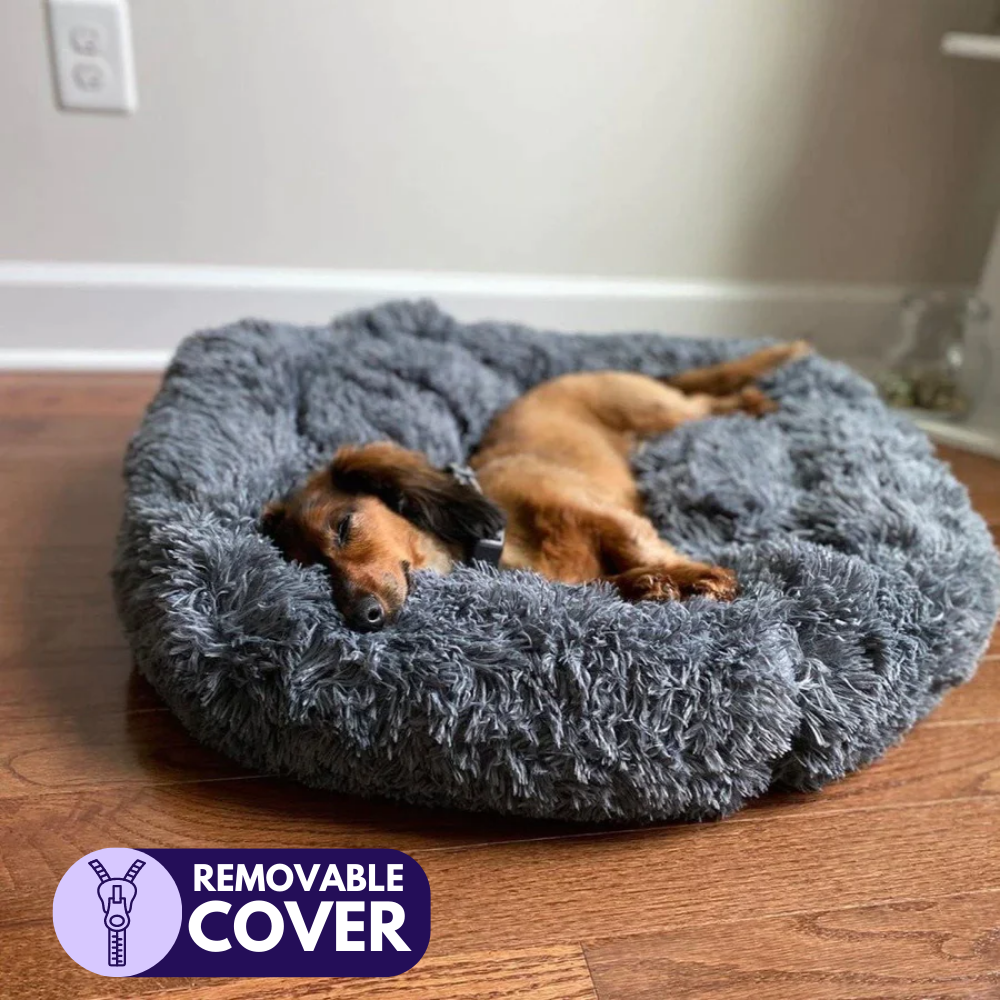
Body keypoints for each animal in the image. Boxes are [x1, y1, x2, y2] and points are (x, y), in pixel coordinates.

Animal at [263, 341, 809, 631]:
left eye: (343, 526)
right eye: (314, 568)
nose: (362, 616)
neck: (504, 540)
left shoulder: (602, 513)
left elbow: (639, 544)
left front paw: (700, 576)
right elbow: (603, 582)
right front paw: (649, 585)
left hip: (659, 412)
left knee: (703, 402)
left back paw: (752, 402)